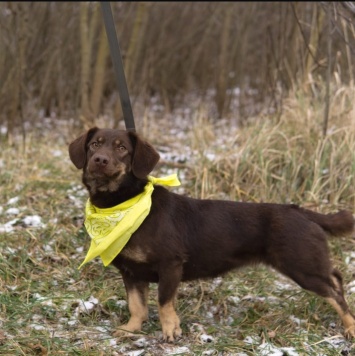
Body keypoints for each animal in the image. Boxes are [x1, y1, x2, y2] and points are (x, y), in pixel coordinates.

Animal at [69, 126, 355, 340]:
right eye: (94, 144)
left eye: (121, 148)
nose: (99, 160)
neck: (123, 205)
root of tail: (302, 211)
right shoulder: (131, 272)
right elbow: (136, 305)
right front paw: (131, 329)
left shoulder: (170, 264)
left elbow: (163, 303)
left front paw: (171, 332)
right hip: (309, 263)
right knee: (336, 278)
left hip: (302, 266)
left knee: (335, 294)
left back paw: (350, 327)